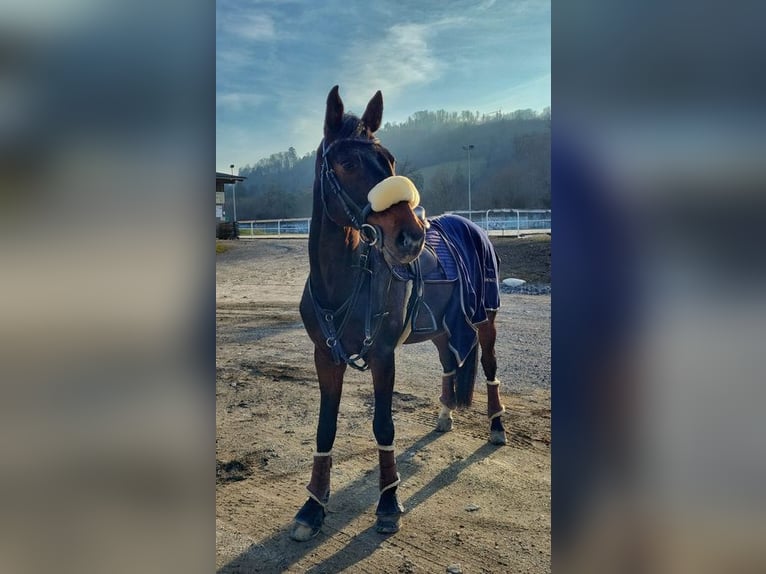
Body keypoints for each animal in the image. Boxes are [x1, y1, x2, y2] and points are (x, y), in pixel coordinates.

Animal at [291, 86, 508, 541]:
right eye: (348, 162)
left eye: (389, 160)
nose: (411, 237)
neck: (341, 282)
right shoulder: (325, 357)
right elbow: (324, 429)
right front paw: (313, 506)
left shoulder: (383, 355)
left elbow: (383, 426)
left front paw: (388, 503)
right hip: (444, 327)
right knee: (449, 364)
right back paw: (444, 415)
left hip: (485, 318)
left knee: (491, 369)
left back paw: (497, 426)